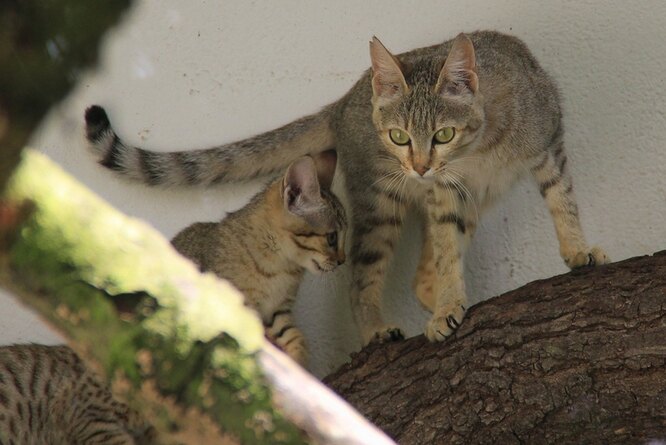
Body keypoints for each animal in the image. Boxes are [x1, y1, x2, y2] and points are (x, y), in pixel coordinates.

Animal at [170, 153, 348, 364]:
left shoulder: (278, 311)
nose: (343, 260)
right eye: (332, 237)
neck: (282, 268)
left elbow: (296, 338)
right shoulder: (239, 307)